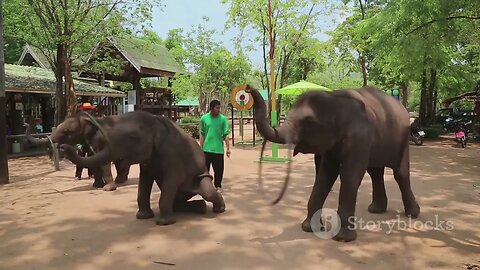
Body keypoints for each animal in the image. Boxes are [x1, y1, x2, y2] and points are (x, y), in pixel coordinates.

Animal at [59, 110, 226, 225]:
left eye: (132, 138)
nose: (62, 147)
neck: (155, 120)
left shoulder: (172, 154)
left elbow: (173, 178)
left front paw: (163, 223)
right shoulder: (148, 160)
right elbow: (144, 180)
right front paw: (143, 217)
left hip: (201, 178)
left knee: (207, 191)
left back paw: (219, 209)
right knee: (178, 202)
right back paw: (201, 207)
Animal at [248, 85, 420, 243]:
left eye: (308, 122)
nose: (248, 89)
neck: (334, 98)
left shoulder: (360, 135)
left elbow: (350, 175)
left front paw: (342, 238)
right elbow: (326, 174)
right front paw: (310, 228)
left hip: (402, 140)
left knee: (400, 173)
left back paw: (412, 213)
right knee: (375, 172)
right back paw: (376, 210)